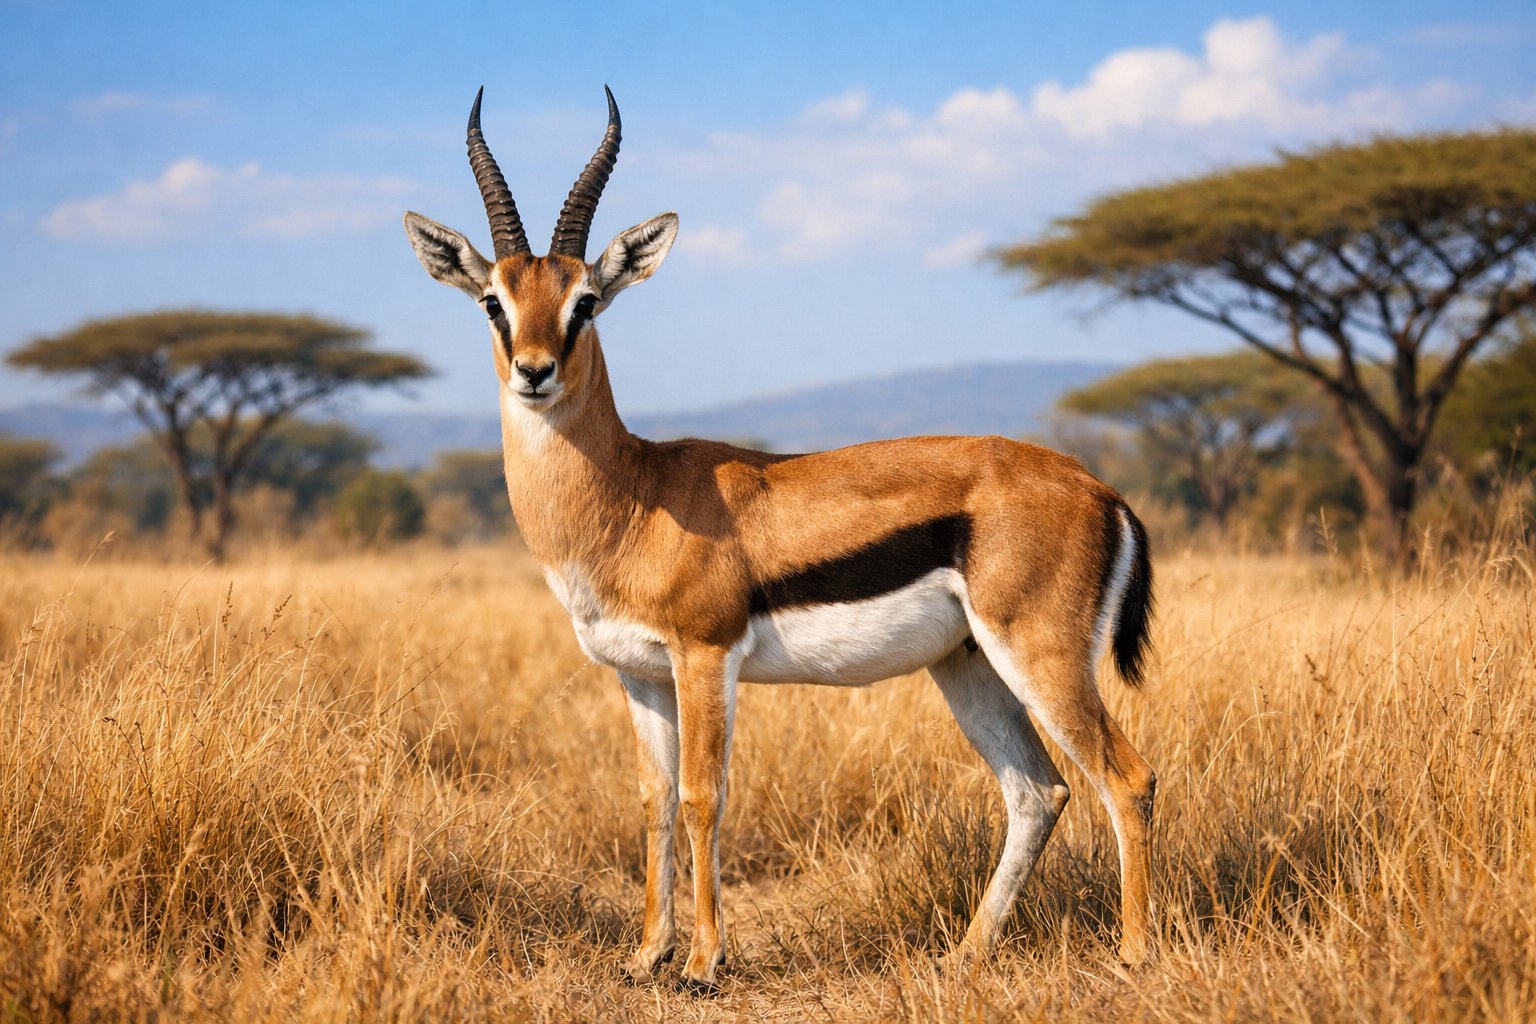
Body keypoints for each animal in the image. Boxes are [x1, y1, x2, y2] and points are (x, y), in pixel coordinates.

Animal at [403, 88, 1157, 989]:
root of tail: (1099, 488)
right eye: (493, 301)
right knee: (1037, 791)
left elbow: (703, 796)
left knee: (1127, 777)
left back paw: (1137, 953)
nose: (534, 370)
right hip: (967, 664)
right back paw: (966, 953)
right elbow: (654, 801)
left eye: (585, 301)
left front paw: (702, 963)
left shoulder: (705, 655)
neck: (632, 497)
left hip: (1040, 654)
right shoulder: (639, 675)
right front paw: (645, 955)